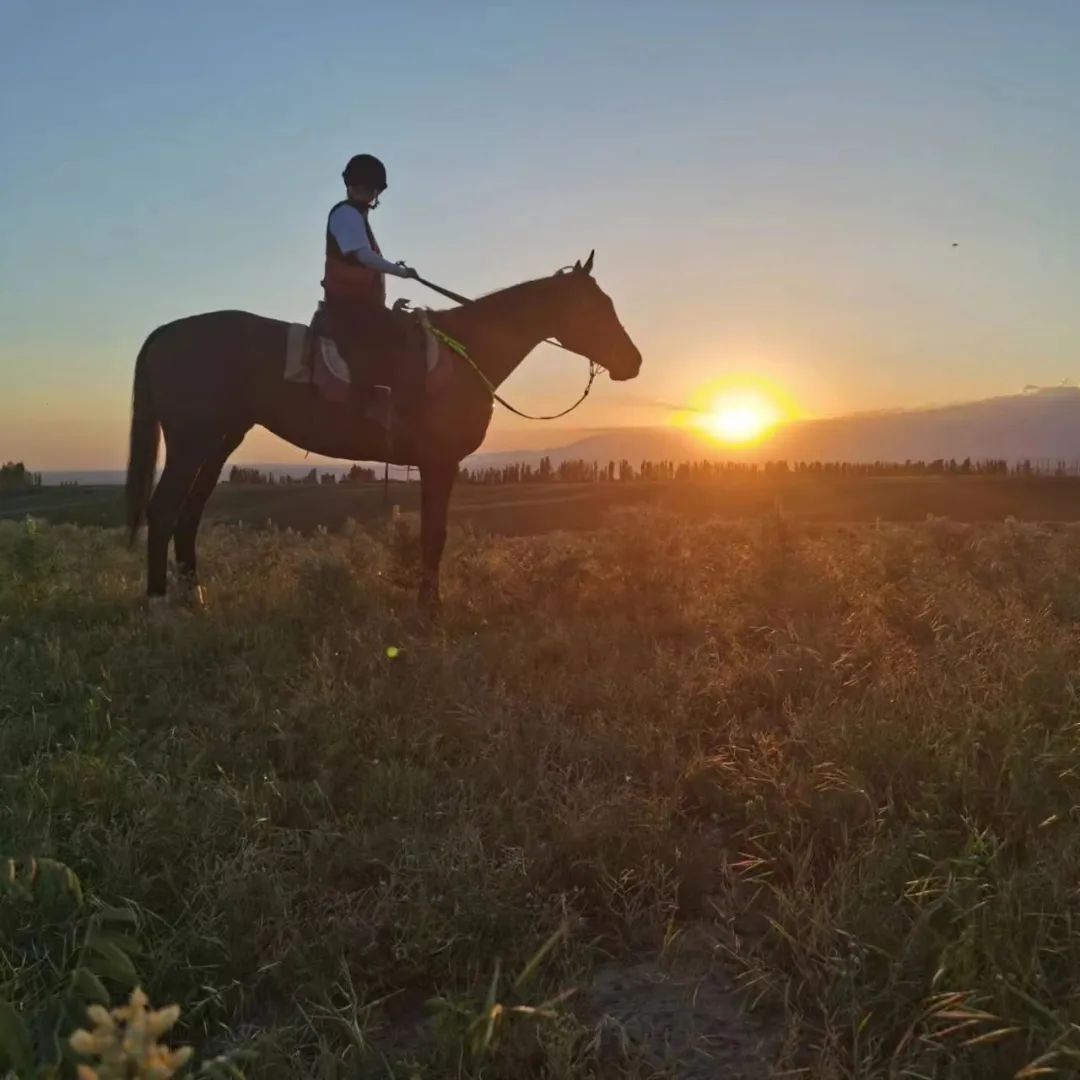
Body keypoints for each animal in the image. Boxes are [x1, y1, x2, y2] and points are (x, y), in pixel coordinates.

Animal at [124, 250, 639, 609]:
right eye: (596, 307)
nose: (632, 362)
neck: (467, 351)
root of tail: (164, 332)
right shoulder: (439, 462)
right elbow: (434, 534)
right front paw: (429, 605)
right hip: (191, 442)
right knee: (164, 509)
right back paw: (158, 600)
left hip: (219, 441)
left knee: (190, 513)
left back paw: (194, 595)